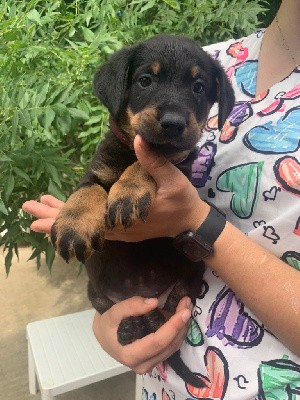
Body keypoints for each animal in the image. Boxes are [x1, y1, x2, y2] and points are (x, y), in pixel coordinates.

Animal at [51, 35, 234, 388]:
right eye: (145, 81)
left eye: (199, 87)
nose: (174, 123)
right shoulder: (95, 171)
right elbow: (87, 192)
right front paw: (73, 226)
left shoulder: (176, 167)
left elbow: (149, 161)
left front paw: (129, 192)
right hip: (96, 291)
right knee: (108, 307)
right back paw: (129, 326)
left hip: (190, 273)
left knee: (170, 310)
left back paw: (147, 322)